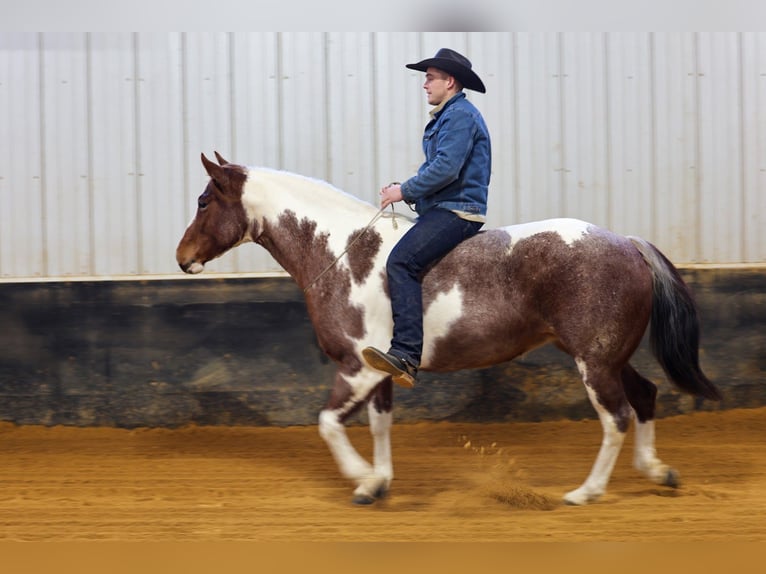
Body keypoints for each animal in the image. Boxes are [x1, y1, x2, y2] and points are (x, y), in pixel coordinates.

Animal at [176, 152, 721, 506]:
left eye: (203, 201)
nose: (182, 258)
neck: (342, 252)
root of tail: (628, 242)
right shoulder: (378, 372)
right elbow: (379, 425)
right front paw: (378, 481)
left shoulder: (355, 368)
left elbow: (328, 422)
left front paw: (361, 478)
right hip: (608, 357)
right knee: (646, 396)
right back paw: (657, 472)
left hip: (596, 362)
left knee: (617, 418)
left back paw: (586, 493)